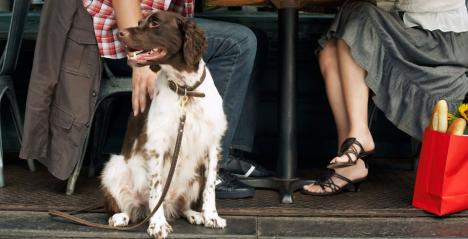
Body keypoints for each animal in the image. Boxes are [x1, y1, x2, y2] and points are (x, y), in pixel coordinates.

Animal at [101, 11, 229, 239]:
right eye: (140, 22)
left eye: (154, 23)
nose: (119, 33)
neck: (186, 90)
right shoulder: (156, 146)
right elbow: (156, 188)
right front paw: (158, 224)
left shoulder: (213, 144)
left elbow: (210, 187)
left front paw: (211, 216)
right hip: (114, 167)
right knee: (128, 207)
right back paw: (120, 217)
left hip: (195, 175)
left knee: (182, 206)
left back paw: (195, 214)